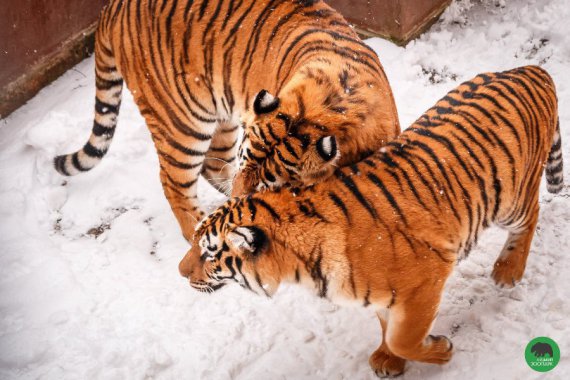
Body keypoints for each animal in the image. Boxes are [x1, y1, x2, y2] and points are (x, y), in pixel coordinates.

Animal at [53, 0, 400, 240]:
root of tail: (115, 5)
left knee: (211, 165)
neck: (328, 106)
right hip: (182, 121)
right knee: (174, 182)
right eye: (247, 164)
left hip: (221, 117)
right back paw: (200, 232)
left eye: (268, 184)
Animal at [178, 66, 560, 378]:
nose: (180, 272)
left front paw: (440, 351)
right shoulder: (385, 295)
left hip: (511, 197)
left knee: (532, 214)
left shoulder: (425, 281)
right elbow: (387, 328)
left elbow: (404, 336)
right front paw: (389, 360)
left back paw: (507, 271)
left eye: (209, 254)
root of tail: (530, 70)